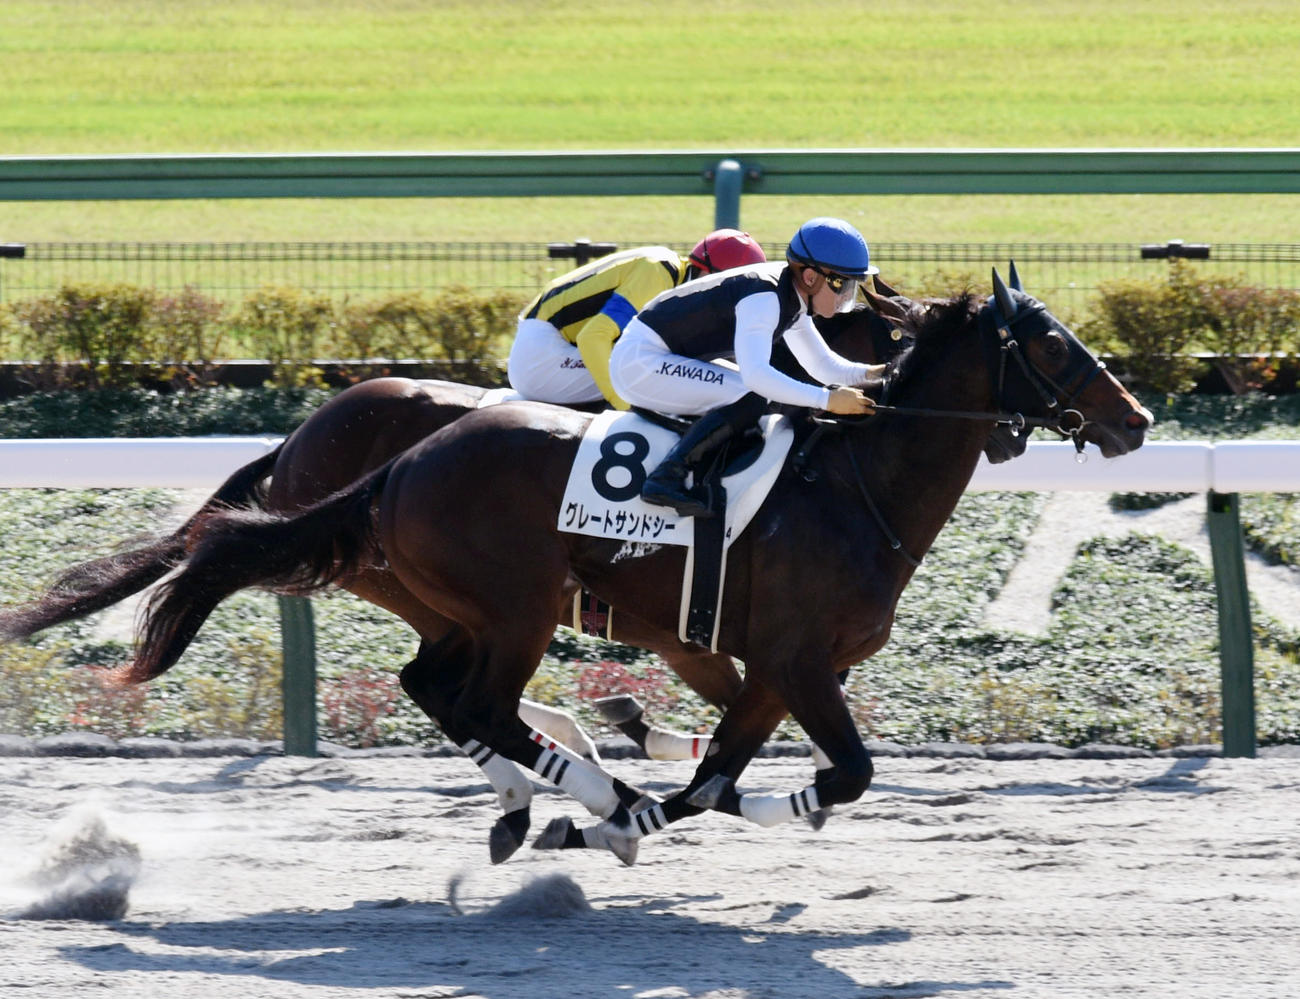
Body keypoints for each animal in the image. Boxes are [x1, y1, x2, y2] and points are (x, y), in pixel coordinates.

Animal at [103, 267, 1150, 865]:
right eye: (1050, 340)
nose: (1134, 419)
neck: (858, 487)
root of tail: (394, 460)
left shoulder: (771, 665)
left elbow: (719, 774)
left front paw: (638, 803)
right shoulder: (794, 656)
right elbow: (839, 772)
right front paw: (626, 799)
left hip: (459, 606)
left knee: (440, 690)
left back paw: (562, 794)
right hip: (511, 607)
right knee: (473, 702)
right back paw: (584, 788)